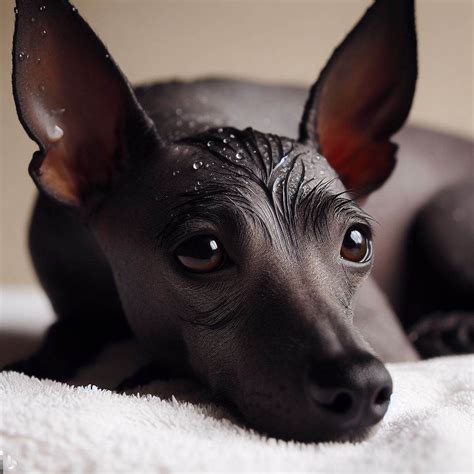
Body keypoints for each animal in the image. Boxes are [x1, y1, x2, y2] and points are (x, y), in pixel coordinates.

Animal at [5, 0, 472, 442]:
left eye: (355, 242)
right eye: (202, 251)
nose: (359, 386)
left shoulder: (383, 337)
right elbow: (63, 335)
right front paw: (44, 356)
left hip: (446, 216)